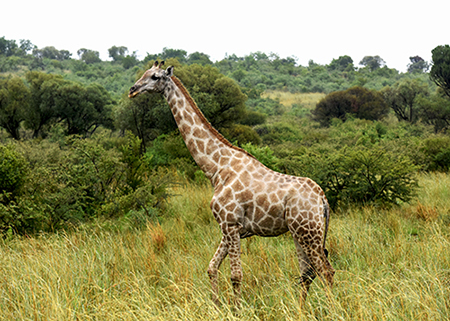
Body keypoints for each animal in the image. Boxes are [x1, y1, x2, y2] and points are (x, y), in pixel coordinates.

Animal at [127, 60, 334, 308]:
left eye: (155, 77)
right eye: (144, 72)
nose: (133, 90)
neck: (216, 168)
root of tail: (323, 199)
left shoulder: (230, 223)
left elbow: (236, 275)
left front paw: (236, 309)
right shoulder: (230, 229)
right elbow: (211, 267)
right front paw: (216, 305)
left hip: (309, 232)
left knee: (325, 270)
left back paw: (333, 309)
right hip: (299, 232)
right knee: (307, 273)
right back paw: (301, 310)